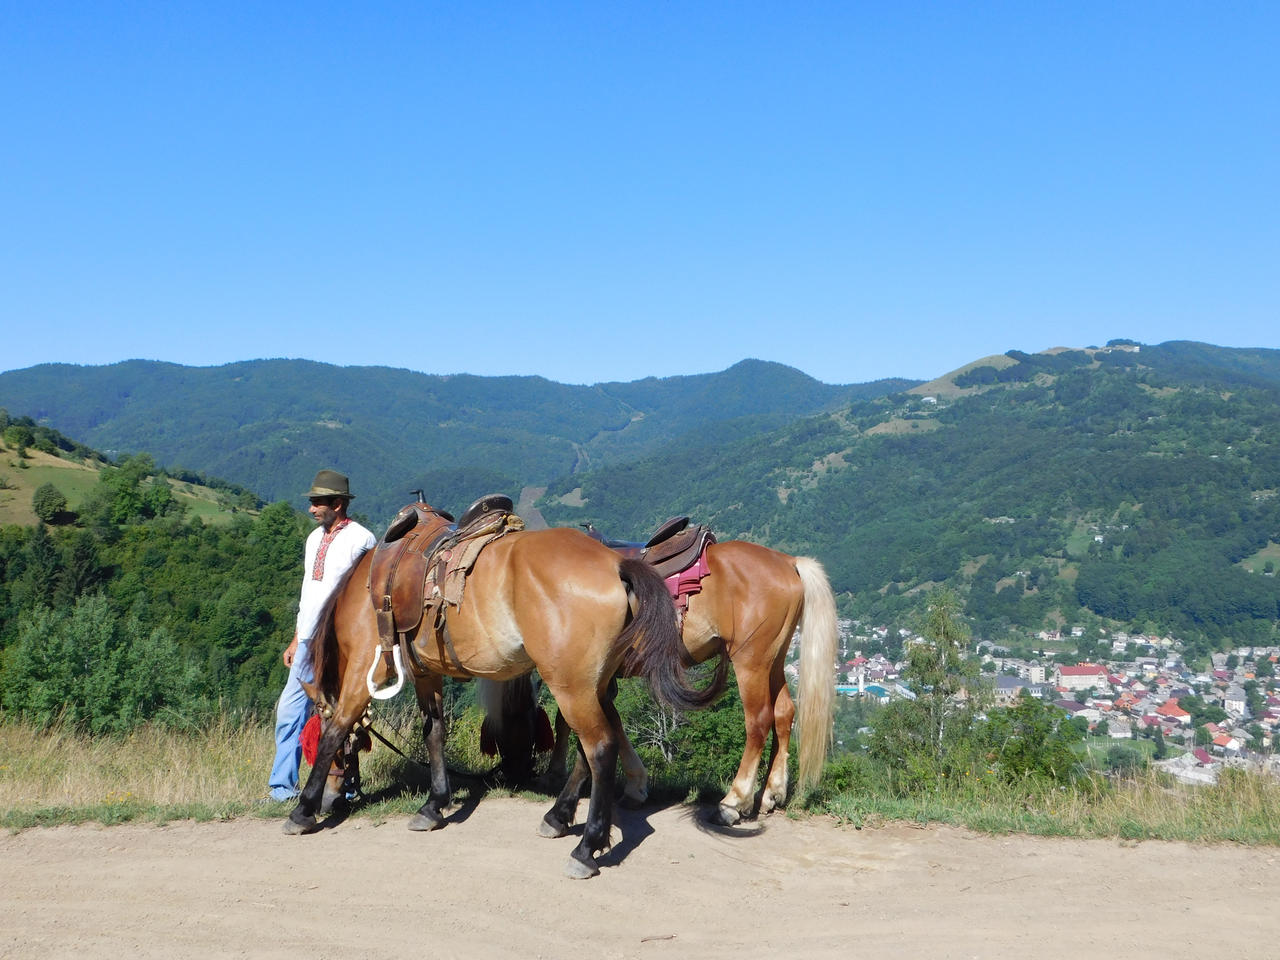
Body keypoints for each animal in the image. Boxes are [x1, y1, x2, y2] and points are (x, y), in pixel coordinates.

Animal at [288, 521, 726, 879]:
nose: (333, 798)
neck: (368, 584)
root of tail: (615, 564)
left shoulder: (365, 668)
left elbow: (336, 728)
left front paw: (303, 809)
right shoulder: (427, 673)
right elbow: (434, 733)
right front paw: (434, 804)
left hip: (572, 686)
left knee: (600, 748)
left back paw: (586, 848)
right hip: (593, 685)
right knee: (591, 747)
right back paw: (560, 817)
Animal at [488, 538, 838, 825]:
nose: (512, 772)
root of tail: (787, 561)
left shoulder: (580, 673)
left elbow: (573, 721)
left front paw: (555, 774)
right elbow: (608, 722)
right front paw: (635, 786)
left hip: (751, 661)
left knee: (759, 721)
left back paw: (733, 802)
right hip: (774, 660)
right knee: (784, 713)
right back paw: (770, 794)